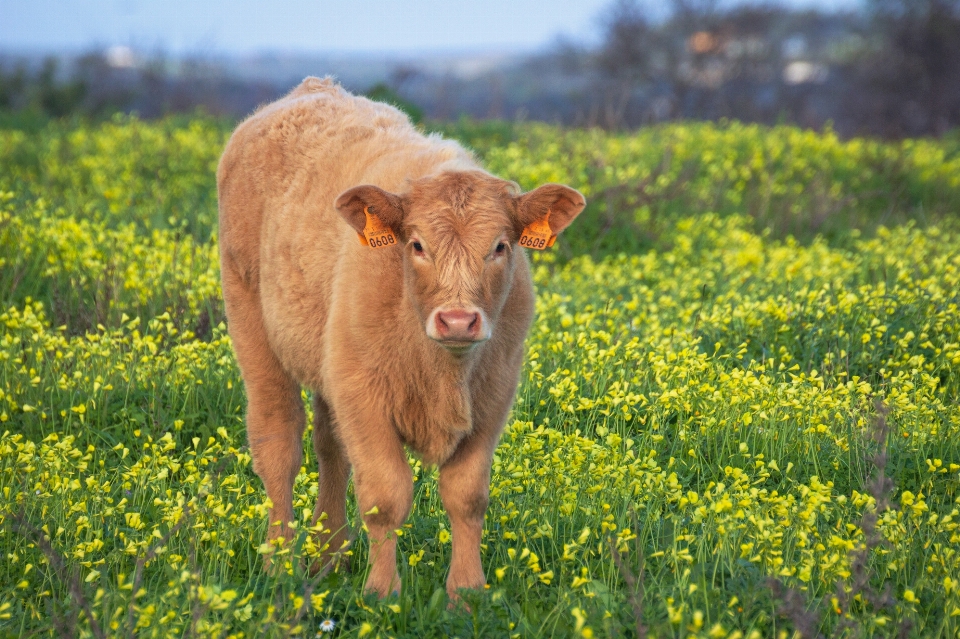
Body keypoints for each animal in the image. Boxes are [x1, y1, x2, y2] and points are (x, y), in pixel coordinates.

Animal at [218, 77, 584, 596]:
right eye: (417, 245)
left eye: (500, 246)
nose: (458, 320)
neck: (442, 370)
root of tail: (310, 90)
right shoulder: (365, 399)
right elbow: (385, 496)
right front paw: (382, 592)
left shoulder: (492, 399)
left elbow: (467, 495)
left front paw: (466, 591)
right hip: (252, 326)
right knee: (278, 444)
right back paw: (280, 565)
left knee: (330, 448)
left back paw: (330, 556)